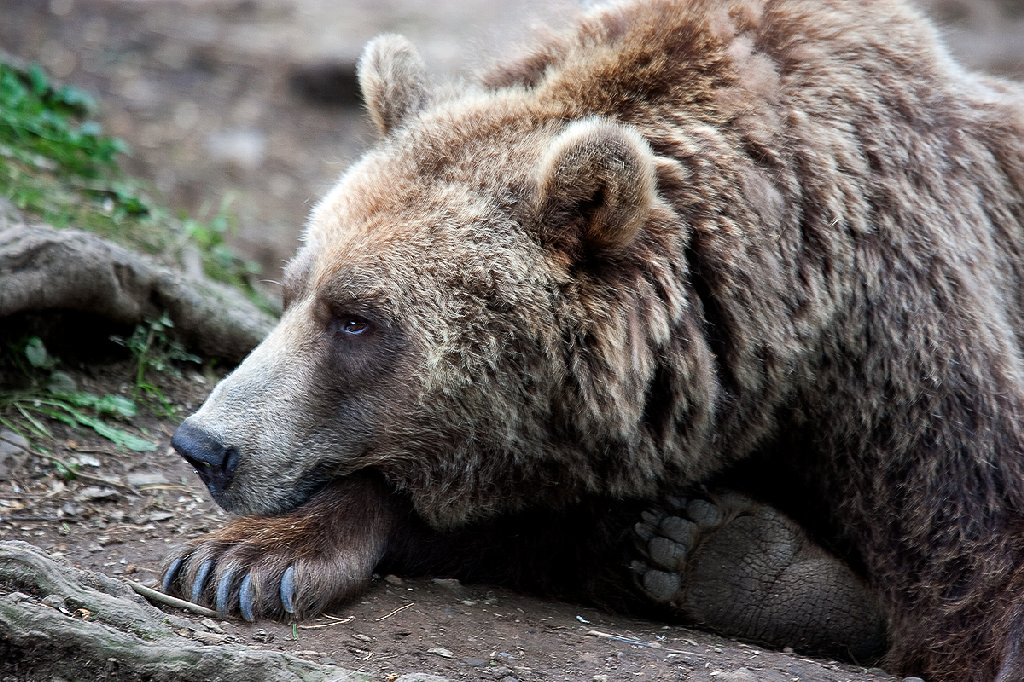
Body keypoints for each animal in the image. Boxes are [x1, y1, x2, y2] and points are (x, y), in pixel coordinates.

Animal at [160, 0, 1024, 680]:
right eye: (292, 289)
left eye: (356, 319)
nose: (205, 445)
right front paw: (242, 557)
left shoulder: (905, 343)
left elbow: (980, 551)